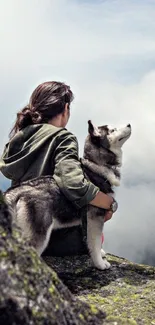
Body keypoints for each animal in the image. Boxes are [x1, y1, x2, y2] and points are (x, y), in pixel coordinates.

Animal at [4, 120, 131, 270]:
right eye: (112, 130)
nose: (129, 124)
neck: (96, 165)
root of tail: (17, 191)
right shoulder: (95, 218)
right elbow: (95, 241)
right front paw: (100, 263)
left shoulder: (88, 221)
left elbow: (92, 241)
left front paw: (100, 253)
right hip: (39, 233)